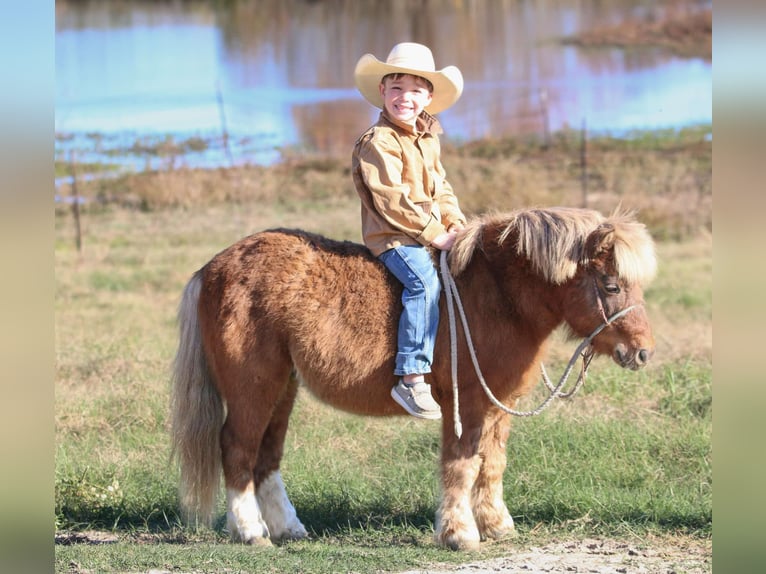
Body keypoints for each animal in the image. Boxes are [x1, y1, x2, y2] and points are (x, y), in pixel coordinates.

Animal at [171, 207, 656, 552]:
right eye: (611, 285)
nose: (643, 352)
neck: (496, 297)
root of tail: (212, 268)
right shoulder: (466, 403)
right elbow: (462, 464)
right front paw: (459, 533)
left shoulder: (500, 404)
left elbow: (493, 463)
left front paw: (497, 525)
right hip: (253, 386)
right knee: (237, 448)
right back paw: (250, 530)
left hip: (282, 387)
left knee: (266, 456)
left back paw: (288, 528)